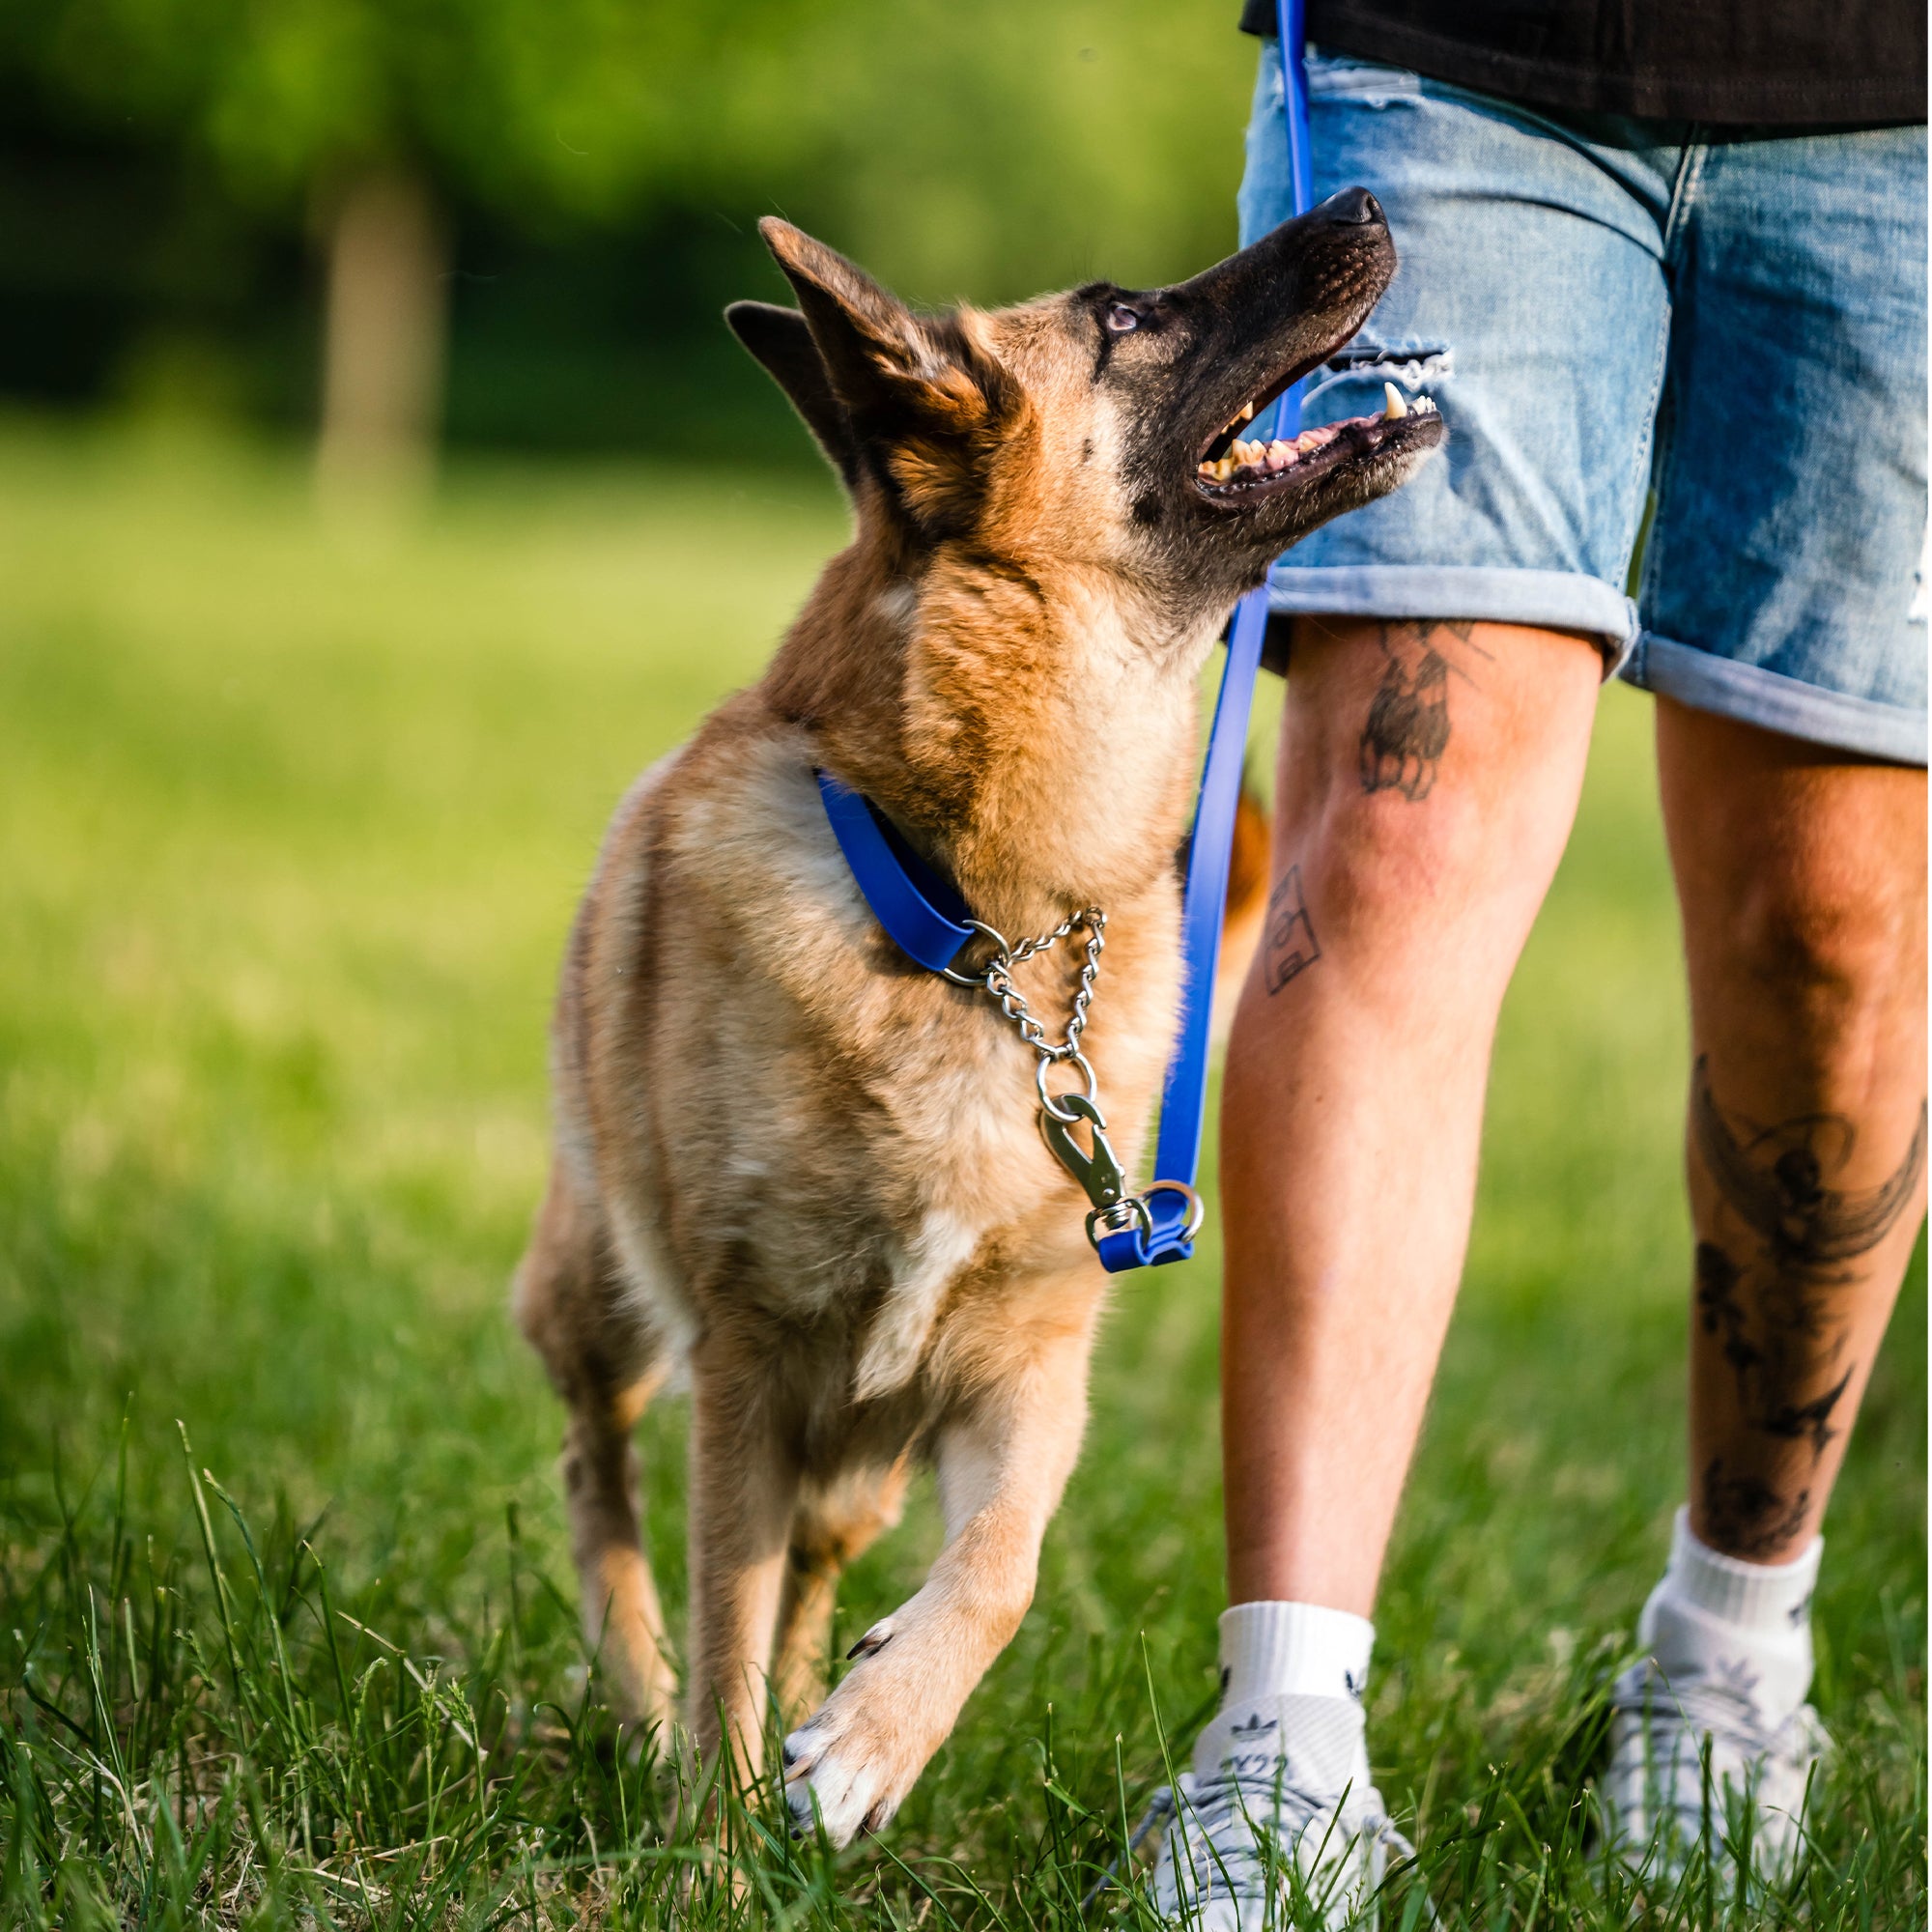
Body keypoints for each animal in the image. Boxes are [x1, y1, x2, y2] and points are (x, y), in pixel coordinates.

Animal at [522, 192, 1445, 1839]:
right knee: (601, 1477)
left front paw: (873, 1738)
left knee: (814, 1559)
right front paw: (714, 1842)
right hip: (601, 1302)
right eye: (1125, 316)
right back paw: (637, 1693)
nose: (1362, 205)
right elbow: (722, 1626)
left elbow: (999, 1570)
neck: (974, 925)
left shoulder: (1022, 1373)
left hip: (863, 1452)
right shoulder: (747, 1368)